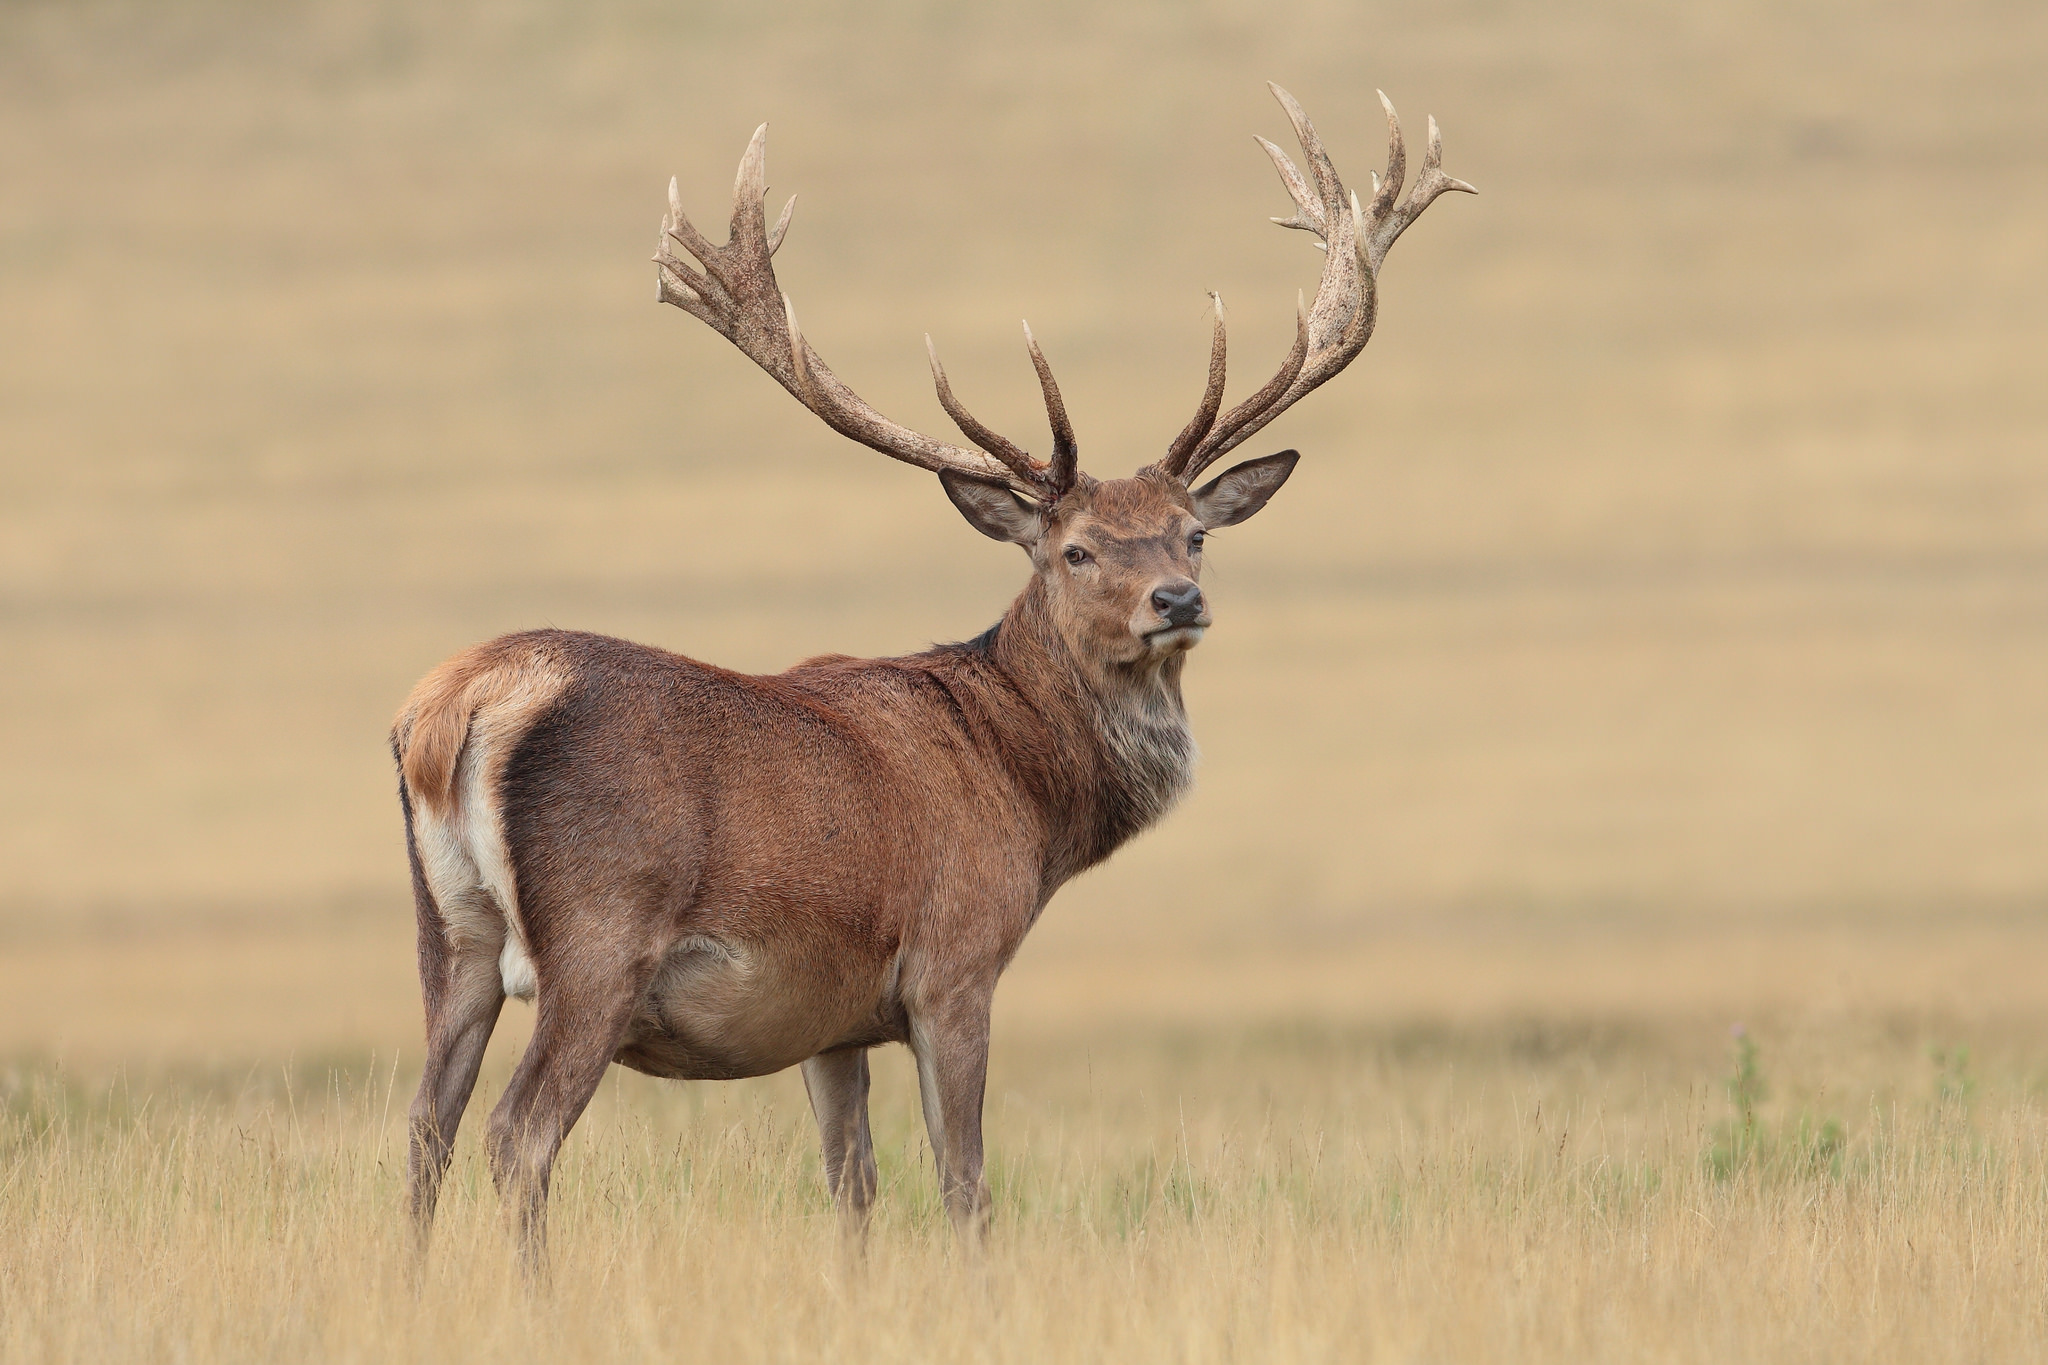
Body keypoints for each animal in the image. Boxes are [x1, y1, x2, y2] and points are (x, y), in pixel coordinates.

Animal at [391, 87, 1466, 1285]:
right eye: (1074, 551)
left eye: (1193, 533)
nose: (1177, 601)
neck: (1029, 796)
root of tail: (458, 707)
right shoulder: (953, 964)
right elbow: (964, 1183)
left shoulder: (828, 1018)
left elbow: (850, 1186)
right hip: (598, 936)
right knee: (517, 1135)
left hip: (451, 938)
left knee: (426, 1126)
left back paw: (413, 1291)